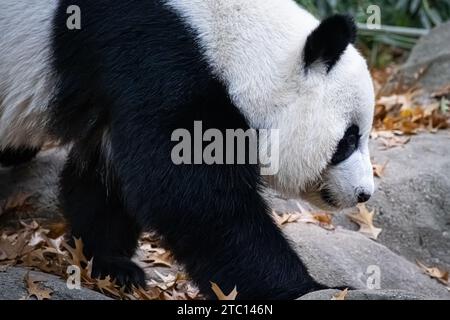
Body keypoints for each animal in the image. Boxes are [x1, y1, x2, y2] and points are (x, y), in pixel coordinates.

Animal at [0, 0, 376, 300]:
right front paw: (304, 288)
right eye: (349, 139)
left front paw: (112, 264)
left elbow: (103, 178)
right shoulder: (157, 56)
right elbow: (194, 200)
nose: (364, 193)